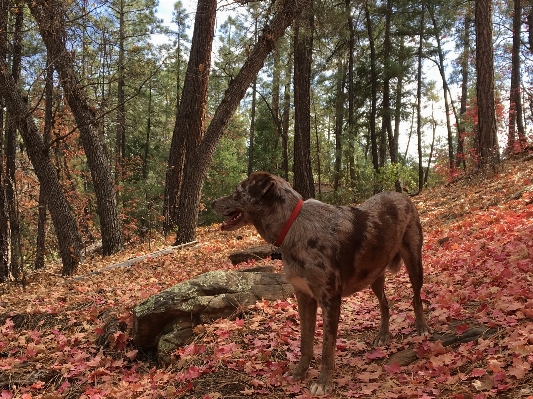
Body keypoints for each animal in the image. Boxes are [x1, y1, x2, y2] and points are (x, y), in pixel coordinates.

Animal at [210, 173, 430, 396]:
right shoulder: (304, 297)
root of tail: (401, 195)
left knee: (416, 297)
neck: (292, 225)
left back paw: (422, 328)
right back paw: (383, 335)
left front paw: (323, 383)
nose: (211, 203)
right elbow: (305, 342)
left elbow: (326, 348)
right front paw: (299, 372)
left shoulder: (330, 300)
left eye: (238, 191)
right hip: (374, 275)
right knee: (385, 303)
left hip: (414, 261)